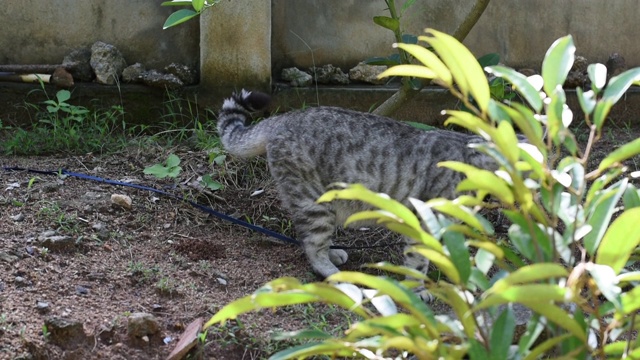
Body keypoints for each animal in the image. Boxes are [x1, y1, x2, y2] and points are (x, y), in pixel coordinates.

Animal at [218, 89, 502, 298]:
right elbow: (419, 261)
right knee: (313, 247)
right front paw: (419, 289)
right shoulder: (424, 223)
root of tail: (285, 117)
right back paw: (335, 272)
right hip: (314, 202)